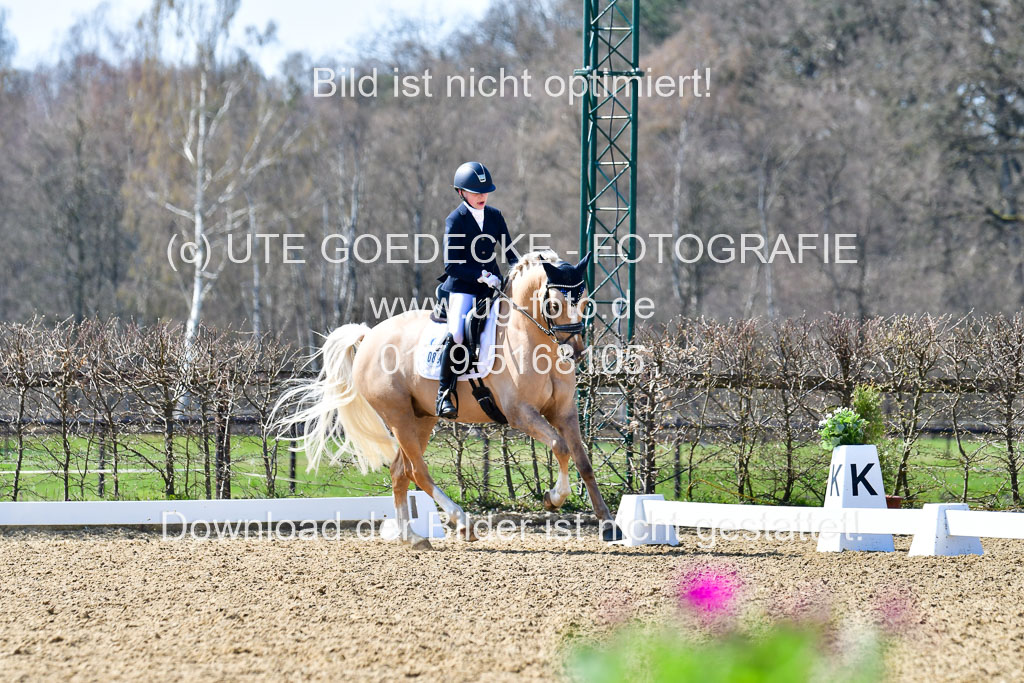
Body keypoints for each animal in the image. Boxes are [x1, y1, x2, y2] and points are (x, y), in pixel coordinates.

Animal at [272, 250, 618, 548]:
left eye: (585, 303)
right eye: (553, 306)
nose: (574, 353)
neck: (532, 339)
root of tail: (369, 335)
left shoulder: (565, 412)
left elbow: (584, 462)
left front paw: (608, 524)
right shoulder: (521, 413)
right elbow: (561, 448)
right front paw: (553, 498)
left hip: (421, 418)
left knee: (400, 472)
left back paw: (411, 537)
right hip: (398, 416)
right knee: (417, 472)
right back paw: (461, 523)